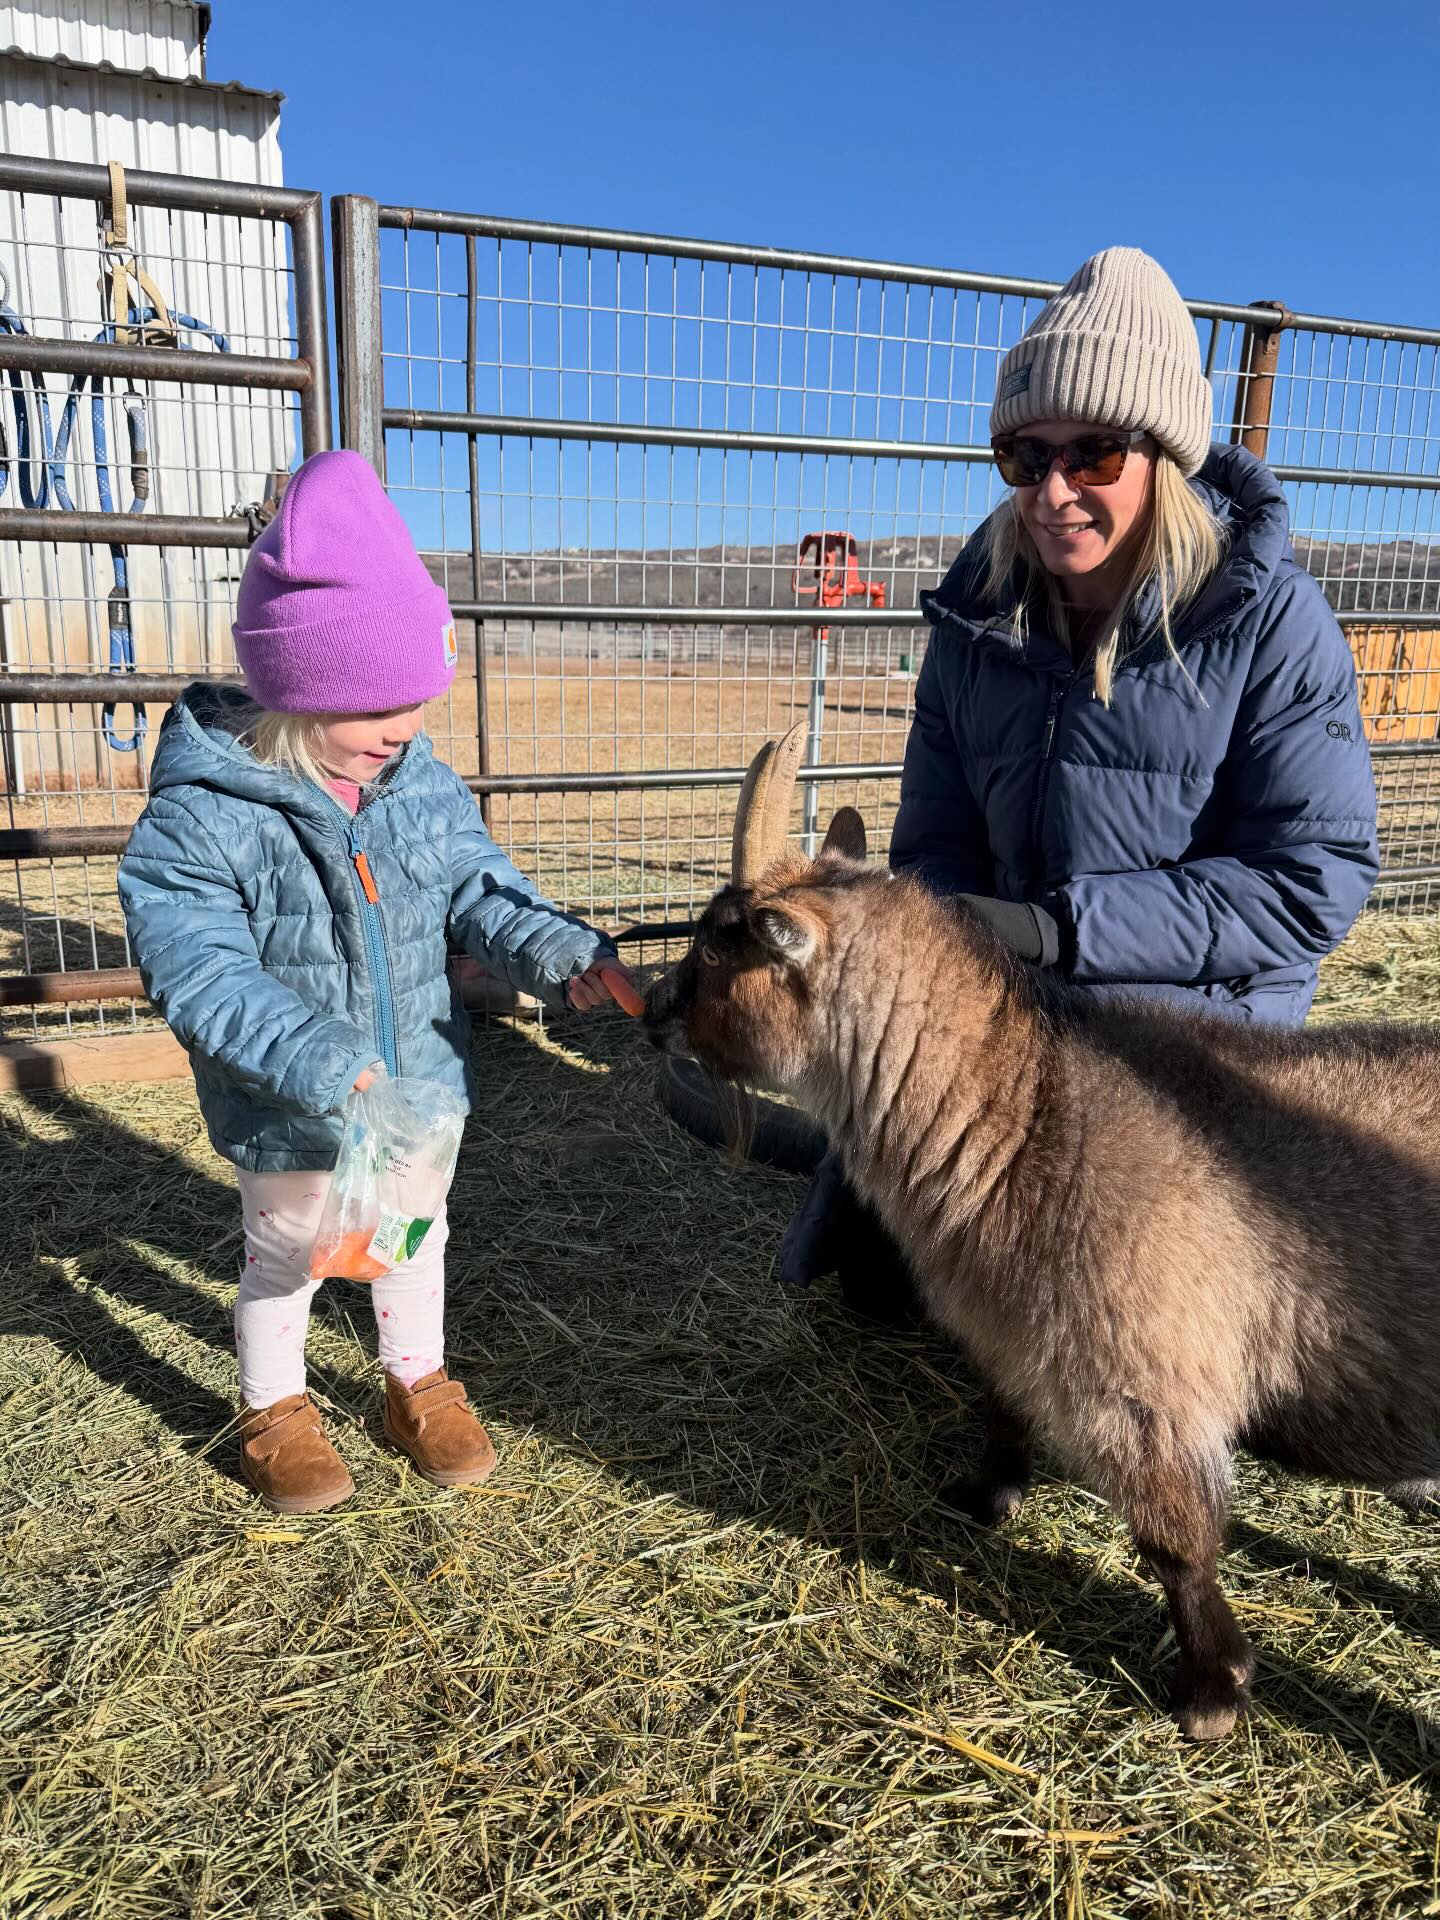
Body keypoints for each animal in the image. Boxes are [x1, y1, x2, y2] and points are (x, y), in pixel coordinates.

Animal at [645, 722, 1440, 1740]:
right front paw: (984, 1497)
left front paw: (1212, 1693)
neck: (1029, 1116)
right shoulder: (1013, 1331)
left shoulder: (1145, 1384)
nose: (652, 1012)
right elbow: (1004, 1414)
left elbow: (1176, 1544)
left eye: (716, 951)